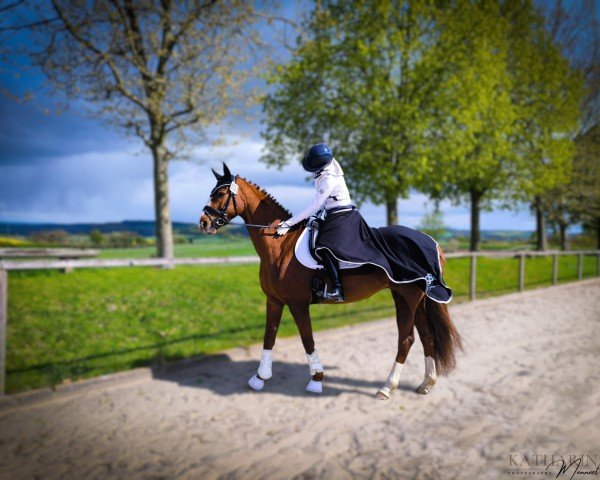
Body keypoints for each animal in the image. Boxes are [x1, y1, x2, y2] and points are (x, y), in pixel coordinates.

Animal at [199, 165, 462, 398]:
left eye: (220, 194)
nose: (203, 222)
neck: (279, 245)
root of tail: (432, 243)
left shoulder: (297, 303)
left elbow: (307, 339)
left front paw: (316, 380)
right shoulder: (274, 300)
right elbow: (269, 337)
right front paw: (260, 378)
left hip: (407, 298)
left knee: (406, 339)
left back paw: (387, 387)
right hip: (413, 298)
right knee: (427, 336)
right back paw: (426, 383)